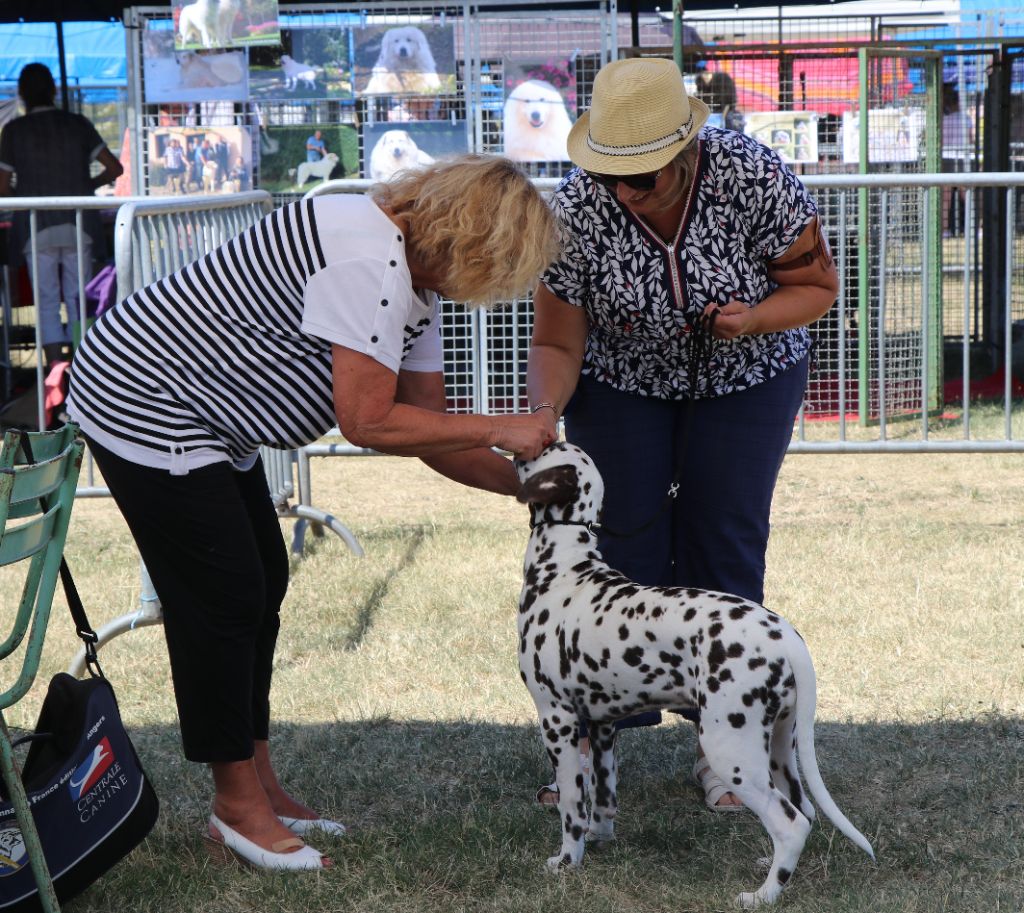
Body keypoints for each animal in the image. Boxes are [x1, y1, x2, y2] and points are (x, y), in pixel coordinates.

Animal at [516, 442, 876, 904]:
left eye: (544, 449)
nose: (518, 442)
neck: (565, 568)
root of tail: (784, 634)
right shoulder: (602, 726)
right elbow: (603, 795)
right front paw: (599, 839)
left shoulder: (557, 720)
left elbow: (572, 806)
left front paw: (566, 862)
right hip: (780, 746)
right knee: (805, 810)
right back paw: (772, 866)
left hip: (730, 748)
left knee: (791, 822)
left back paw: (763, 895)